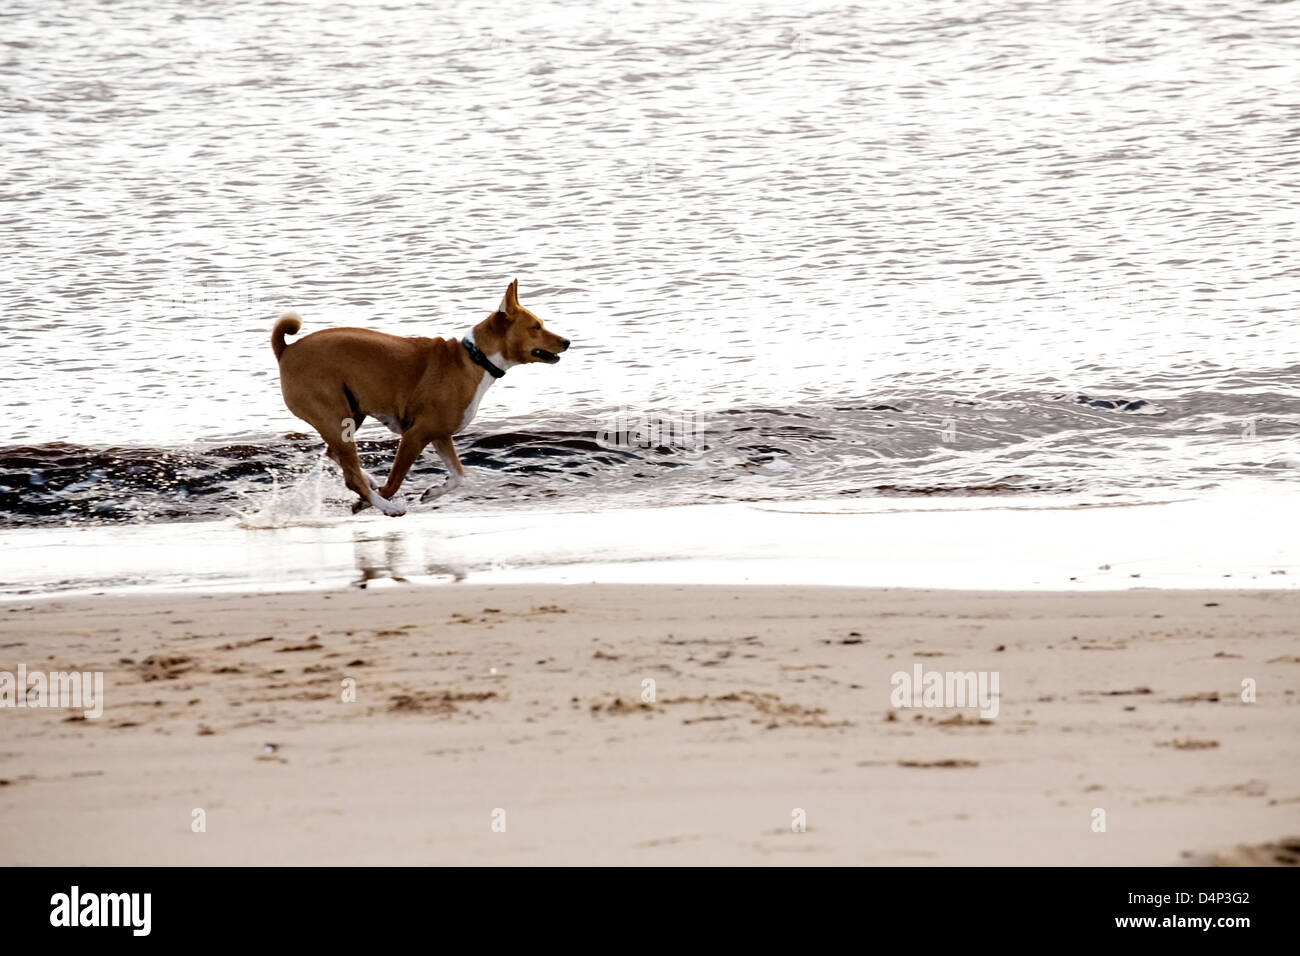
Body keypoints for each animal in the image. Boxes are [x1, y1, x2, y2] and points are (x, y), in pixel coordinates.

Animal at [273, 278, 569, 515]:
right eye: (537, 327)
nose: (567, 341)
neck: (474, 358)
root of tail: (286, 350)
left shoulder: (440, 435)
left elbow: (459, 475)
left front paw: (433, 492)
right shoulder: (415, 436)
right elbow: (393, 483)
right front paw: (370, 502)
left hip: (351, 415)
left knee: (338, 458)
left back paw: (370, 483)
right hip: (337, 420)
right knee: (350, 476)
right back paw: (387, 507)